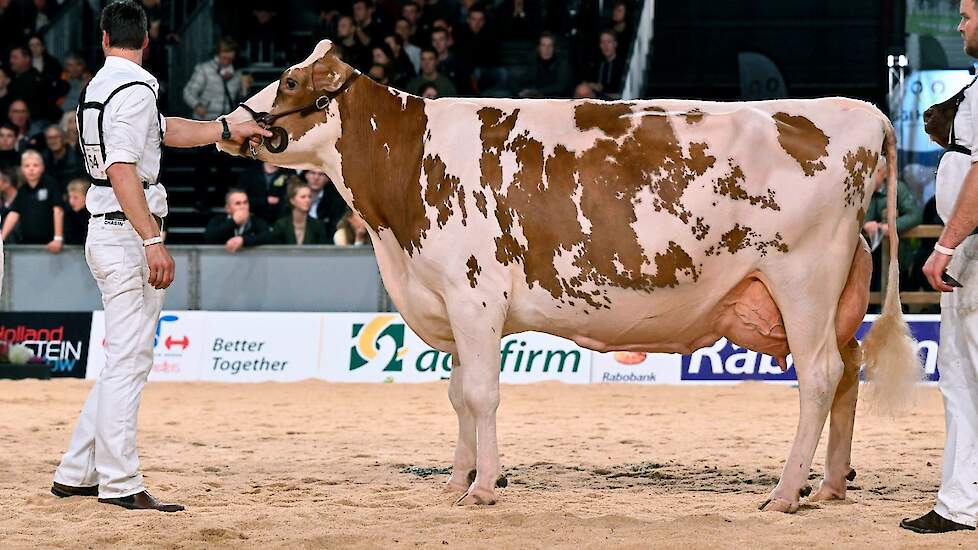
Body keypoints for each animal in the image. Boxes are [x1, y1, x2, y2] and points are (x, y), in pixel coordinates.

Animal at [217, 41, 920, 516]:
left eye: (287, 79)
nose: (228, 125)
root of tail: (858, 111)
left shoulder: (473, 296)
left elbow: (482, 395)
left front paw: (484, 489)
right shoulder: (450, 299)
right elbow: (458, 395)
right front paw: (457, 480)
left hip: (802, 278)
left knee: (820, 377)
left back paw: (784, 493)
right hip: (835, 292)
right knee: (847, 373)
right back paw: (829, 486)